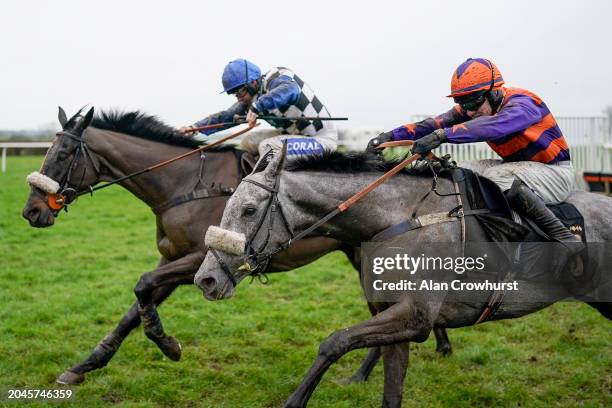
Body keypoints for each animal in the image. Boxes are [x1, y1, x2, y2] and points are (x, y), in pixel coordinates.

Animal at [195, 145, 612, 406]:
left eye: (249, 210)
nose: (206, 279)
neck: (400, 219)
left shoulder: (414, 317)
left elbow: (334, 341)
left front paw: (295, 400)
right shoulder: (397, 320)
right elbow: (389, 389)